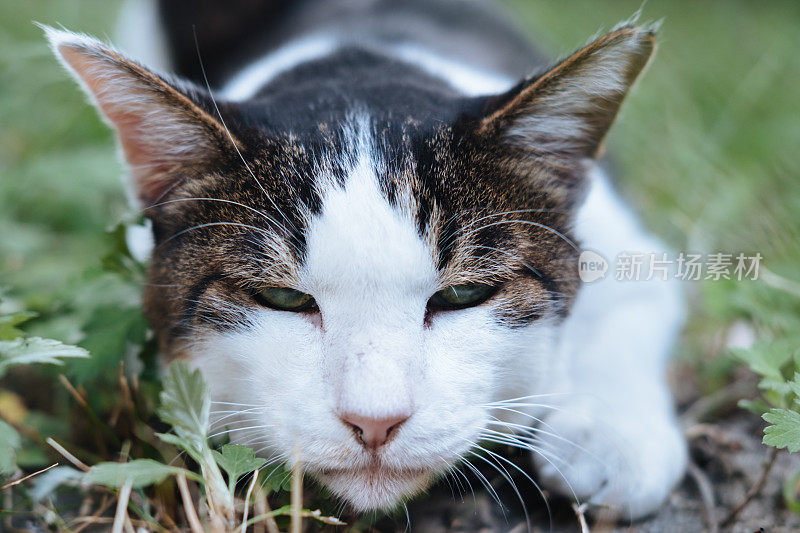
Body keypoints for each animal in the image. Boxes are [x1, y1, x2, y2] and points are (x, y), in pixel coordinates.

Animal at [43, 0, 684, 520]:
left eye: (464, 295)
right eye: (282, 298)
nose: (375, 422)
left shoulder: (627, 243)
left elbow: (637, 297)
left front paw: (613, 436)